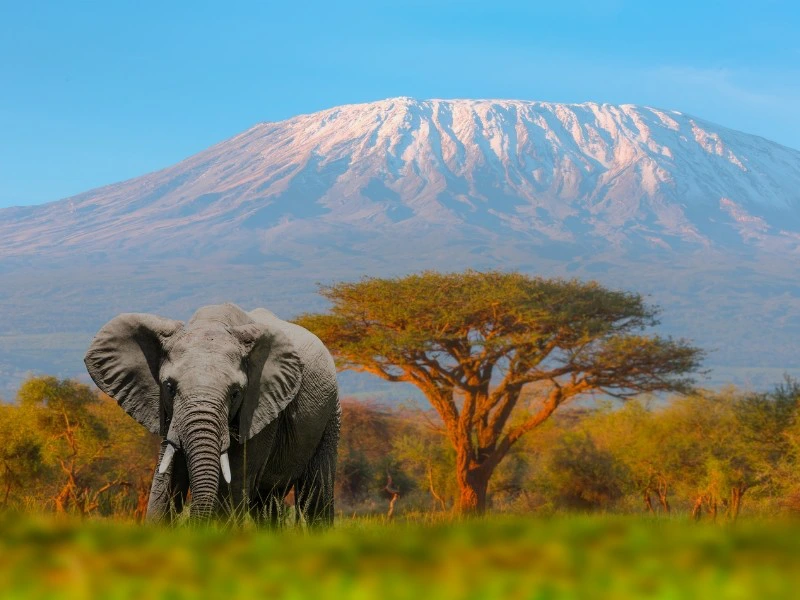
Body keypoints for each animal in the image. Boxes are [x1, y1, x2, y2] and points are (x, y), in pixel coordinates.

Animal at [84, 303, 340, 525]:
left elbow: (232, 486)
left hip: (331, 411)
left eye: (236, 393)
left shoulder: (261, 412)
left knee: (315, 495)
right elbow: (165, 484)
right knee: (267, 504)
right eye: (169, 387)